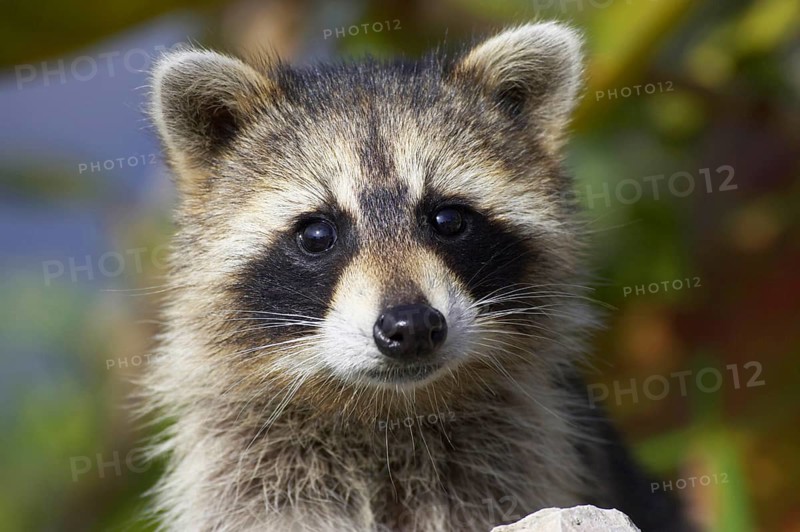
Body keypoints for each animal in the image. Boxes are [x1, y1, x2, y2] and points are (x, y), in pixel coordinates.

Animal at [145, 22, 690, 531]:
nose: (411, 327)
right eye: (317, 234)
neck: (388, 411)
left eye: (447, 219)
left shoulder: (520, 454)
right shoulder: (248, 466)